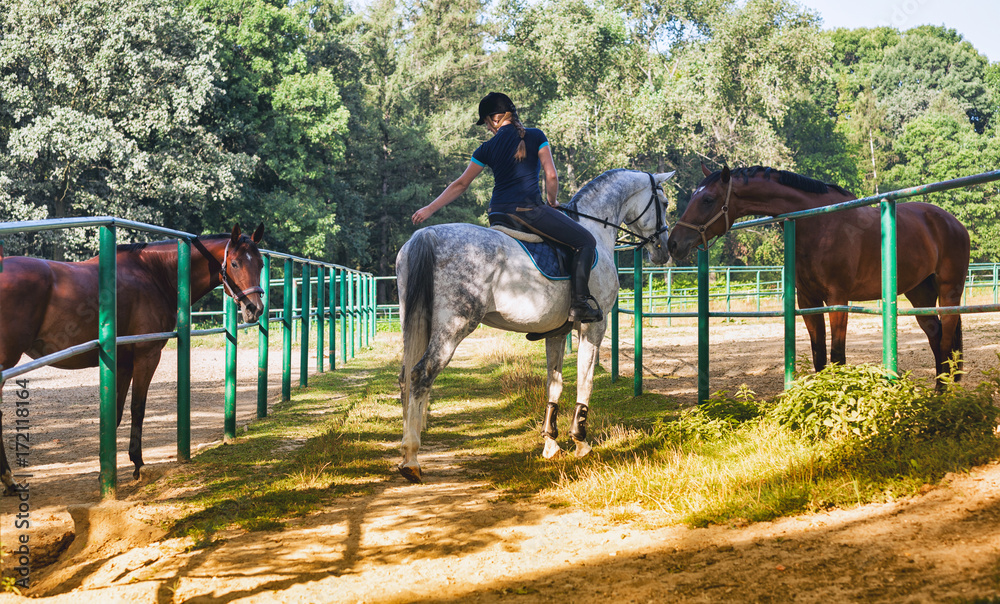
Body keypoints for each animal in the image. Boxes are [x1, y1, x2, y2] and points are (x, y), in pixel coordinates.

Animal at [0, 224, 266, 494]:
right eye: (234, 263)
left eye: (261, 264)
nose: (254, 309)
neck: (154, 273)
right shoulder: (147, 356)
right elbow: (138, 408)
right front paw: (137, 464)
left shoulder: (123, 364)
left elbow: (115, 413)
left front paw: (105, 472)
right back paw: (10, 480)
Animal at [394, 169, 676, 482]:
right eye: (664, 203)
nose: (664, 250)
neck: (596, 228)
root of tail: (427, 234)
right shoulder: (593, 328)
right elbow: (585, 378)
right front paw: (580, 441)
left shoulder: (557, 333)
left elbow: (555, 384)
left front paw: (551, 444)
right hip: (454, 327)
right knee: (421, 374)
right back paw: (411, 459)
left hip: (418, 321)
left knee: (406, 377)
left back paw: (407, 450)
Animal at [672, 165, 968, 382]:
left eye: (708, 199)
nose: (674, 243)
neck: (820, 222)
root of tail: (953, 222)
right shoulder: (808, 300)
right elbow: (819, 356)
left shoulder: (837, 300)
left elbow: (837, 356)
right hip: (919, 293)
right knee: (936, 334)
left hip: (949, 292)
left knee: (946, 338)